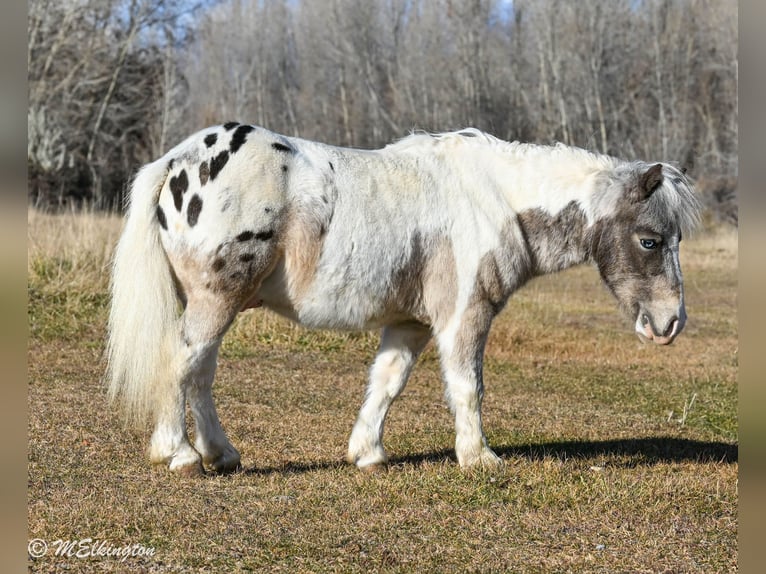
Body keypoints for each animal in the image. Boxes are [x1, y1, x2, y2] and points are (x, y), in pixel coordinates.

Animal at [106, 123, 701, 476]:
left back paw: (220, 453)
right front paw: (478, 457)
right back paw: (181, 453)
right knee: (180, 362)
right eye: (651, 240)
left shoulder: (411, 324)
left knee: (200, 373)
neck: (496, 199)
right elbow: (467, 387)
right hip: (216, 300)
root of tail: (179, 158)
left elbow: (387, 383)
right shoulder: (463, 316)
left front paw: (367, 453)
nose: (670, 323)